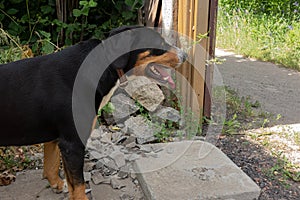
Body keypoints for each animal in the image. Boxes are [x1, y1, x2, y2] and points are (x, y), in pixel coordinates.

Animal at [0, 25, 186, 199]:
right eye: (159, 43)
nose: (185, 55)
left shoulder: (57, 138)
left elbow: (52, 166)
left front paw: (57, 185)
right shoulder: (72, 144)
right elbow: (79, 186)